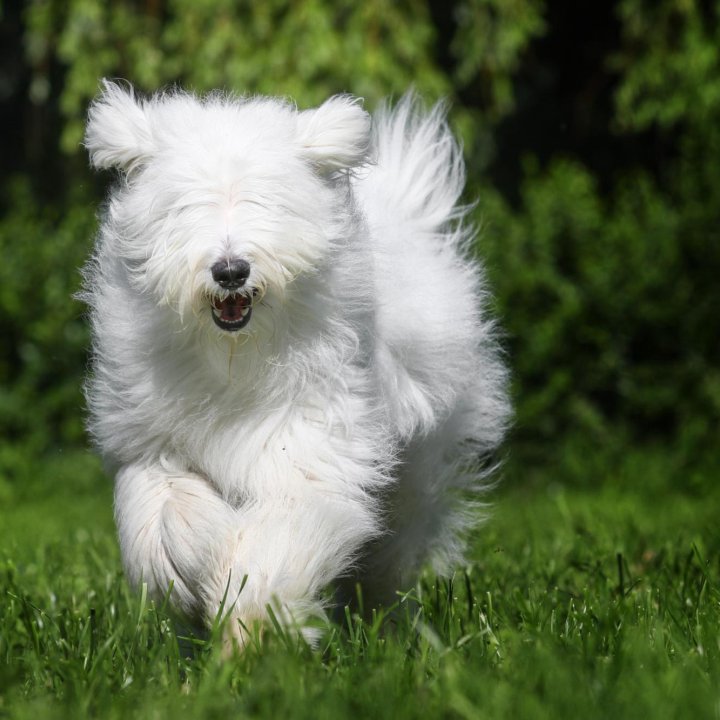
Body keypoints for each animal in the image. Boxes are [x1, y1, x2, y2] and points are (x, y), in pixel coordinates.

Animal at [83, 80, 512, 648]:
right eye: (186, 206)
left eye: (267, 203)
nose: (230, 271)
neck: (234, 357)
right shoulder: (152, 445)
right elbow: (167, 510)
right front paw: (196, 572)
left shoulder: (309, 446)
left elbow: (280, 537)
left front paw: (252, 630)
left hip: (414, 472)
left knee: (388, 554)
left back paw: (386, 627)